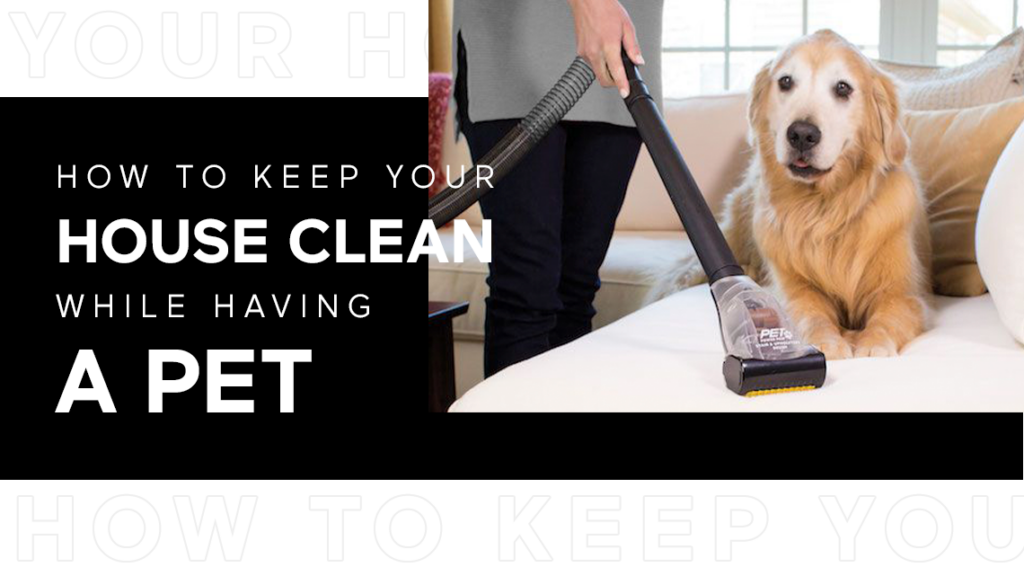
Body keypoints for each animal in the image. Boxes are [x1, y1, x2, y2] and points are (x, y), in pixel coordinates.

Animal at [651, 30, 933, 358]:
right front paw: (827, 341)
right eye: (785, 82)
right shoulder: (791, 286)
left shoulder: (905, 292)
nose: (801, 134)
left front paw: (873, 344)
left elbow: (889, 313)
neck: (824, 208)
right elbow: (809, 311)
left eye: (843, 88)